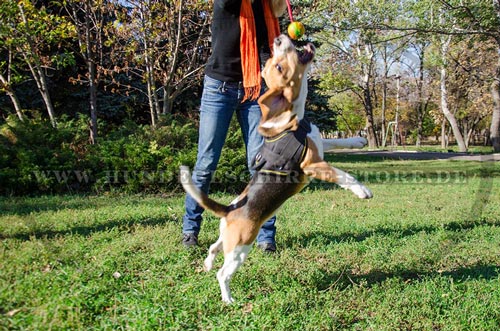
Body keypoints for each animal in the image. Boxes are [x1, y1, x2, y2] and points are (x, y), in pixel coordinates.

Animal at [180, 35, 372, 304]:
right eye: (279, 67)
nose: (278, 39)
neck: (292, 121)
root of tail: (230, 210)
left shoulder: (318, 144)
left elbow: (338, 142)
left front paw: (358, 141)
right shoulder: (313, 165)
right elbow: (343, 175)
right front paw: (362, 190)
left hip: (227, 240)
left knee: (213, 248)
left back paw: (207, 264)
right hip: (241, 248)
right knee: (223, 273)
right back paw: (228, 299)